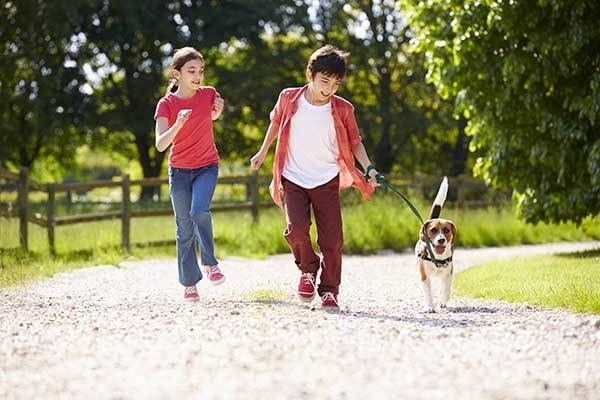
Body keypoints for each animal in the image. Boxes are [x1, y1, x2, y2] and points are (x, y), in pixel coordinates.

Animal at [414, 177, 458, 312]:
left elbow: (445, 289)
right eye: (433, 230)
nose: (441, 240)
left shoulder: (448, 274)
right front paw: (429, 306)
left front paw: (442, 302)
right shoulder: (424, 276)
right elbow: (428, 293)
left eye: (446, 230)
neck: (437, 258)